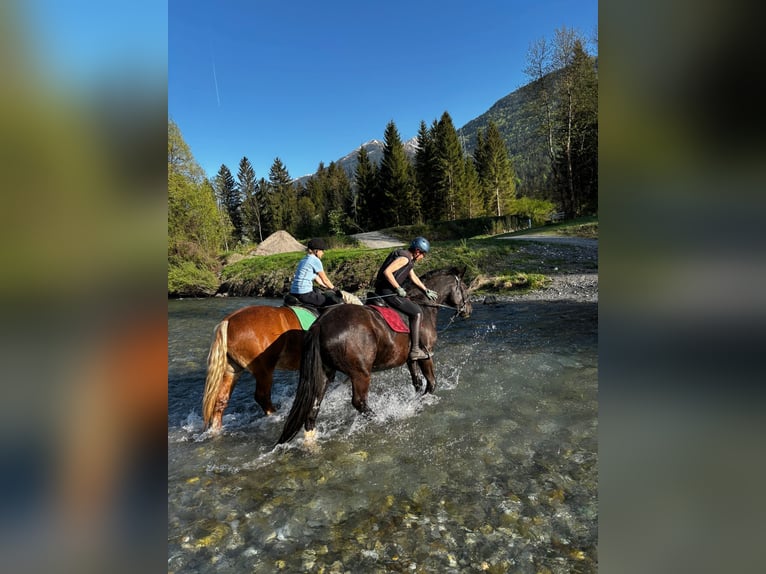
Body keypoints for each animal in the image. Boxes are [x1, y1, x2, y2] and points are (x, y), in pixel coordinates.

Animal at [202, 292, 362, 432]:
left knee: (221, 400)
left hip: (232, 370)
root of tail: (228, 321)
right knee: (262, 397)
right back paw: (276, 415)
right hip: (264, 370)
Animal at [276, 267, 472, 445]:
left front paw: (414, 400)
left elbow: (417, 383)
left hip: (324, 373)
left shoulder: (411, 359)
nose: (468, 310)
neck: (424, 307)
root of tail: (320, 323)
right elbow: (431, 384)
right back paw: (380, 418)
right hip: (360, 373)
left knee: (314, 406)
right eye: (464, 287)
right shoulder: (426, 355)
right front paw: (418, 404)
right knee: (359, 402)